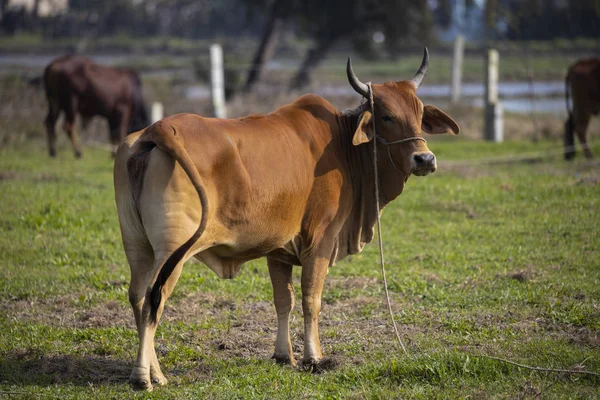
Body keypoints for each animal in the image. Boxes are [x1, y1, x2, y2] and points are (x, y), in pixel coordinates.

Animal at [113, 47, 460, 390]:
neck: (343, 147)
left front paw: (283, 356)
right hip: (172, 251)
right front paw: (314, 358)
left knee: (137, 297)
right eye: (386, 116)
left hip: (137, 245)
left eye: (419, 114)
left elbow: (284, 300)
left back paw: (152, 371)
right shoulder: (320, 243)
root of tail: (157, 129)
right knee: (153, 299)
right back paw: (145, 376)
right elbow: (311, 300)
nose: (424, 158)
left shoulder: (278, 250)